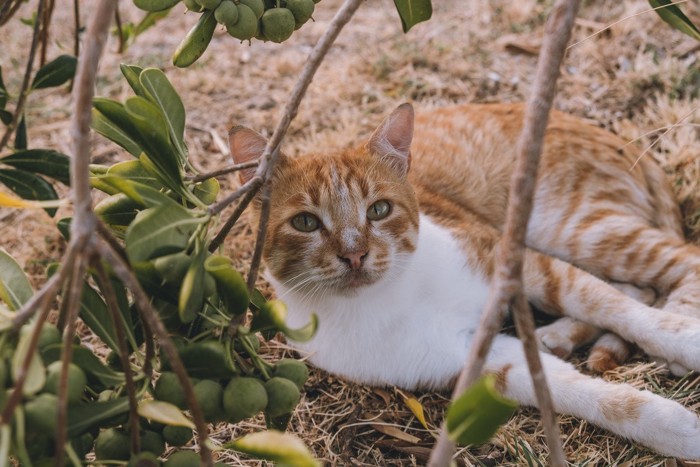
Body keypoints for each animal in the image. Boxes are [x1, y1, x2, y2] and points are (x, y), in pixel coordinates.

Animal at [228, 103, 700, 460]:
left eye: (379, 210)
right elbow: (581, 392)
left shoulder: (518, 262)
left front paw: (686, 342)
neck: (388, 298)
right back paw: (560, 335)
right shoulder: (484, 361)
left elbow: (614, 307)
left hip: (572, 229)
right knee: (639, 285)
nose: (355, 255)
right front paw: (673, 429)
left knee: (678, 263)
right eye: (306, 223)